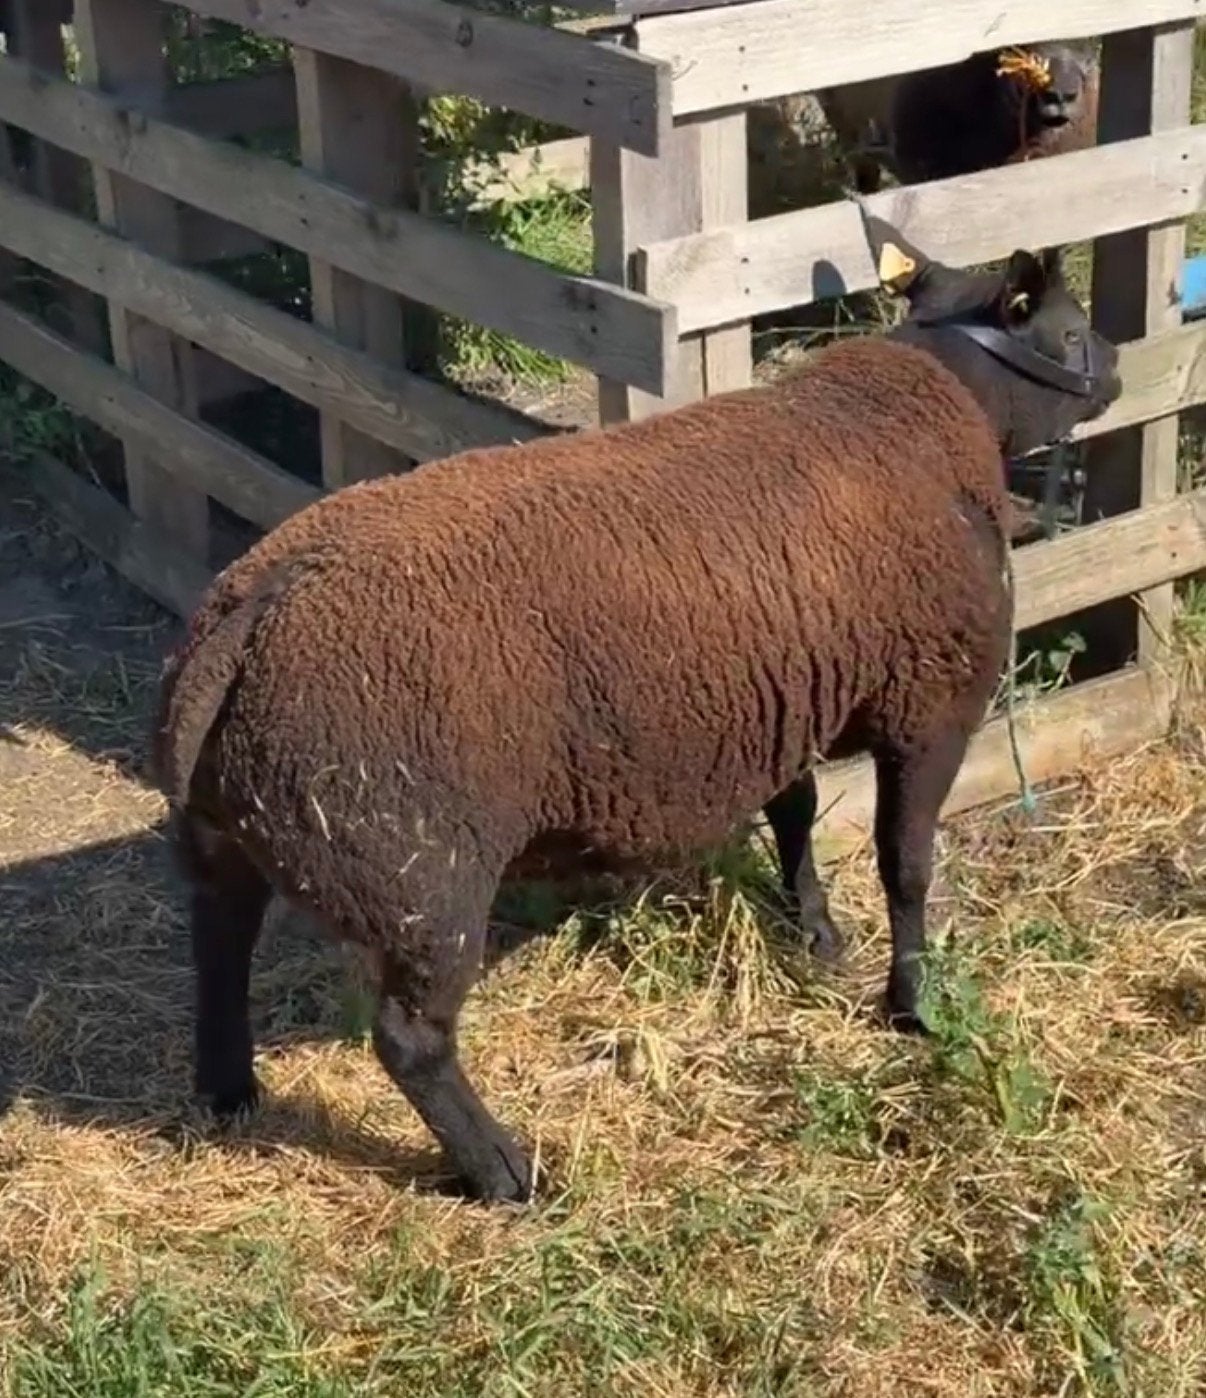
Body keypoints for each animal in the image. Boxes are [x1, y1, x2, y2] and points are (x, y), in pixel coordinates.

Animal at [152, 212, 1121, 1204]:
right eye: (1070, 328)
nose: (1118, 369)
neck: (933, 412)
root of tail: (247, 614)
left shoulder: (778, 695)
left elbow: (797, 810)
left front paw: (814, 932)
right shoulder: (931, 704)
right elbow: (907, 865)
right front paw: (911, 1003)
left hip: (232, 838)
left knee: (218, 944)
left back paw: (228, 1089)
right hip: (420, 876)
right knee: (411, 1039)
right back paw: (504, 1169)